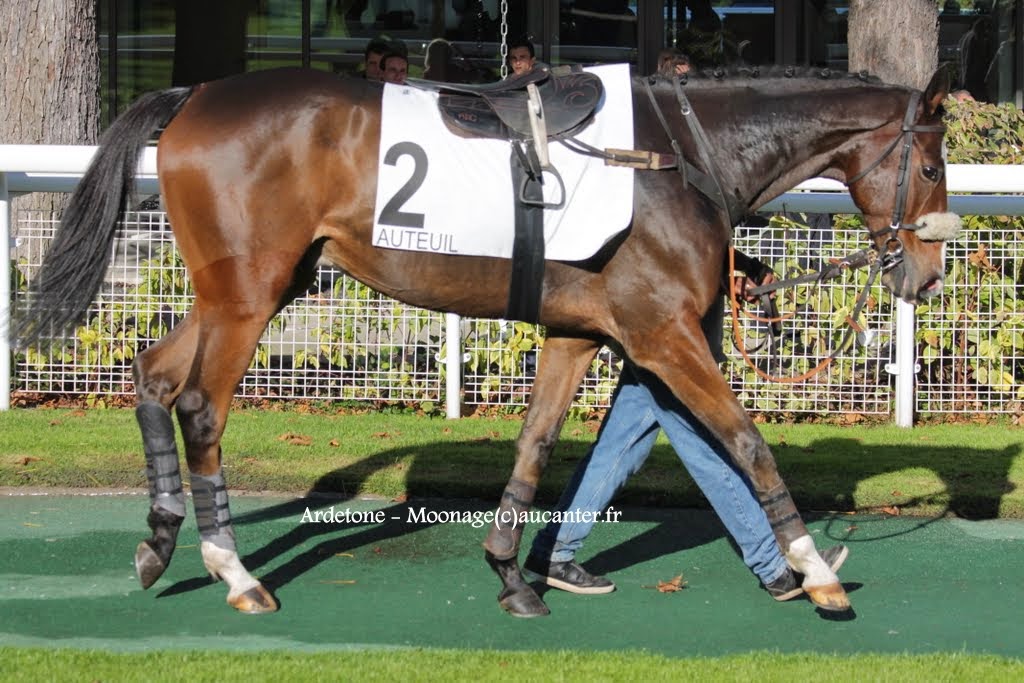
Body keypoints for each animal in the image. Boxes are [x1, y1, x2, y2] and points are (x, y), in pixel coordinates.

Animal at [9, 63, 950, 618]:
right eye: (935, 164)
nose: (929, 272)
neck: (678, 156)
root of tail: (195, 97)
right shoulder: (662, 332)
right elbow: (745, 441)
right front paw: (813, 568)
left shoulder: (578, 333)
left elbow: (538, 442)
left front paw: (512, 571)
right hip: (248, 295)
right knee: (201, 405)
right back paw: (236, 572)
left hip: (241, 288)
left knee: (152, 376)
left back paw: (160, 542)